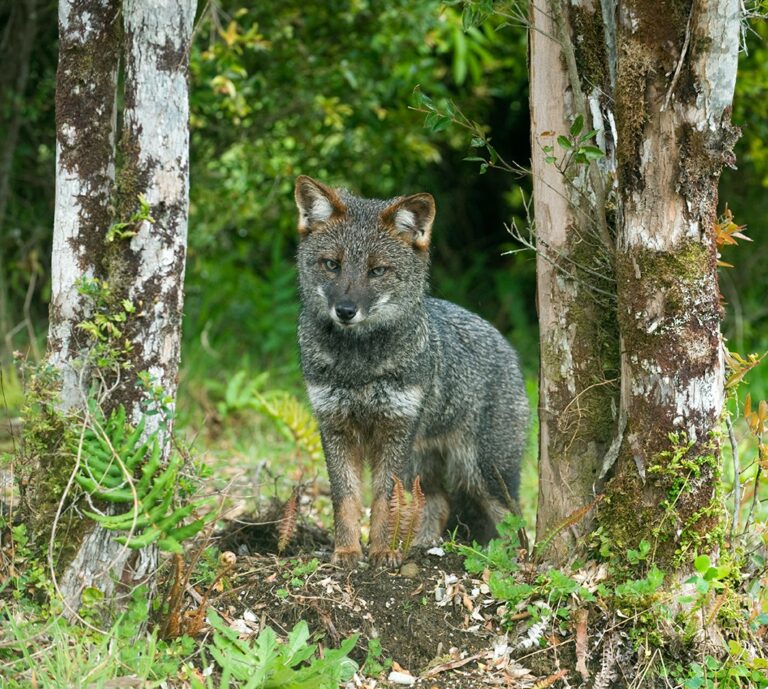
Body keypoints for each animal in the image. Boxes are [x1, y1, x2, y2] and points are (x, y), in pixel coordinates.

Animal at [294, 175, 528, 569]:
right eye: (332, 265)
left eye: (377, 270)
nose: (345, 310)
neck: (359, 366)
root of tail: (507, 344)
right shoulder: (334, 426)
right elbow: (346, 499)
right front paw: (347, 551)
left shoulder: (395, 430)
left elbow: (384, 501)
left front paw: (382, 551)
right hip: (426, 464)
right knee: (439, 503)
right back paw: (423, 546)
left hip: (483, 471)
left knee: (515, 520)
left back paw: (515, 562)